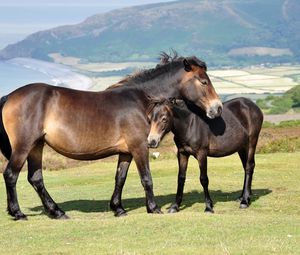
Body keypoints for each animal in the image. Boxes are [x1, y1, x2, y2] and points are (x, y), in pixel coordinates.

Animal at [0, 53, 223, 219]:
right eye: (204, 81)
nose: (217, 108)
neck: (141, 101)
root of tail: (10, 96)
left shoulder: (126, 151)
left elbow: (120, 178)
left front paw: (118, 208)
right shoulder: (140, 147)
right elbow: (146, 178)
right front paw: (153, 208)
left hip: (36, 146)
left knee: (35, 178)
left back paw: (57, 212)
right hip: (24, 146)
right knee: (11, 174)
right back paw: (18, 213)